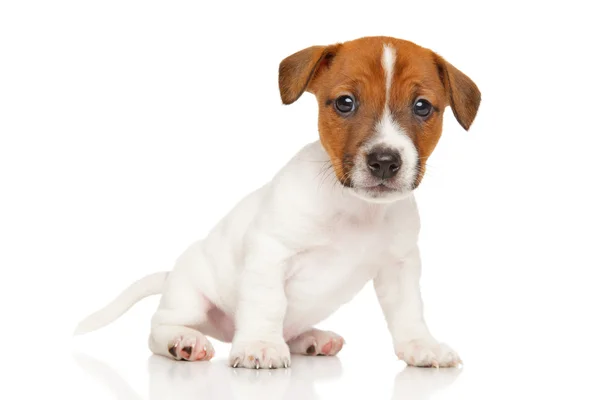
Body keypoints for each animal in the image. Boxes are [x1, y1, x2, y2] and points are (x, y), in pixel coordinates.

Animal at [76, 36, 482, 370]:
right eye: (345, 103)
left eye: (422, 107)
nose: (384, 161)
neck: (354, 207)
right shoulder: (270, 253)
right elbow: (268, 303)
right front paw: (259, 345)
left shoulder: (400, 267)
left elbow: (409, 310)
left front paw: (421, 345)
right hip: (189, 298)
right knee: (158, 328)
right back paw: (184, 341)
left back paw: (311, 338)